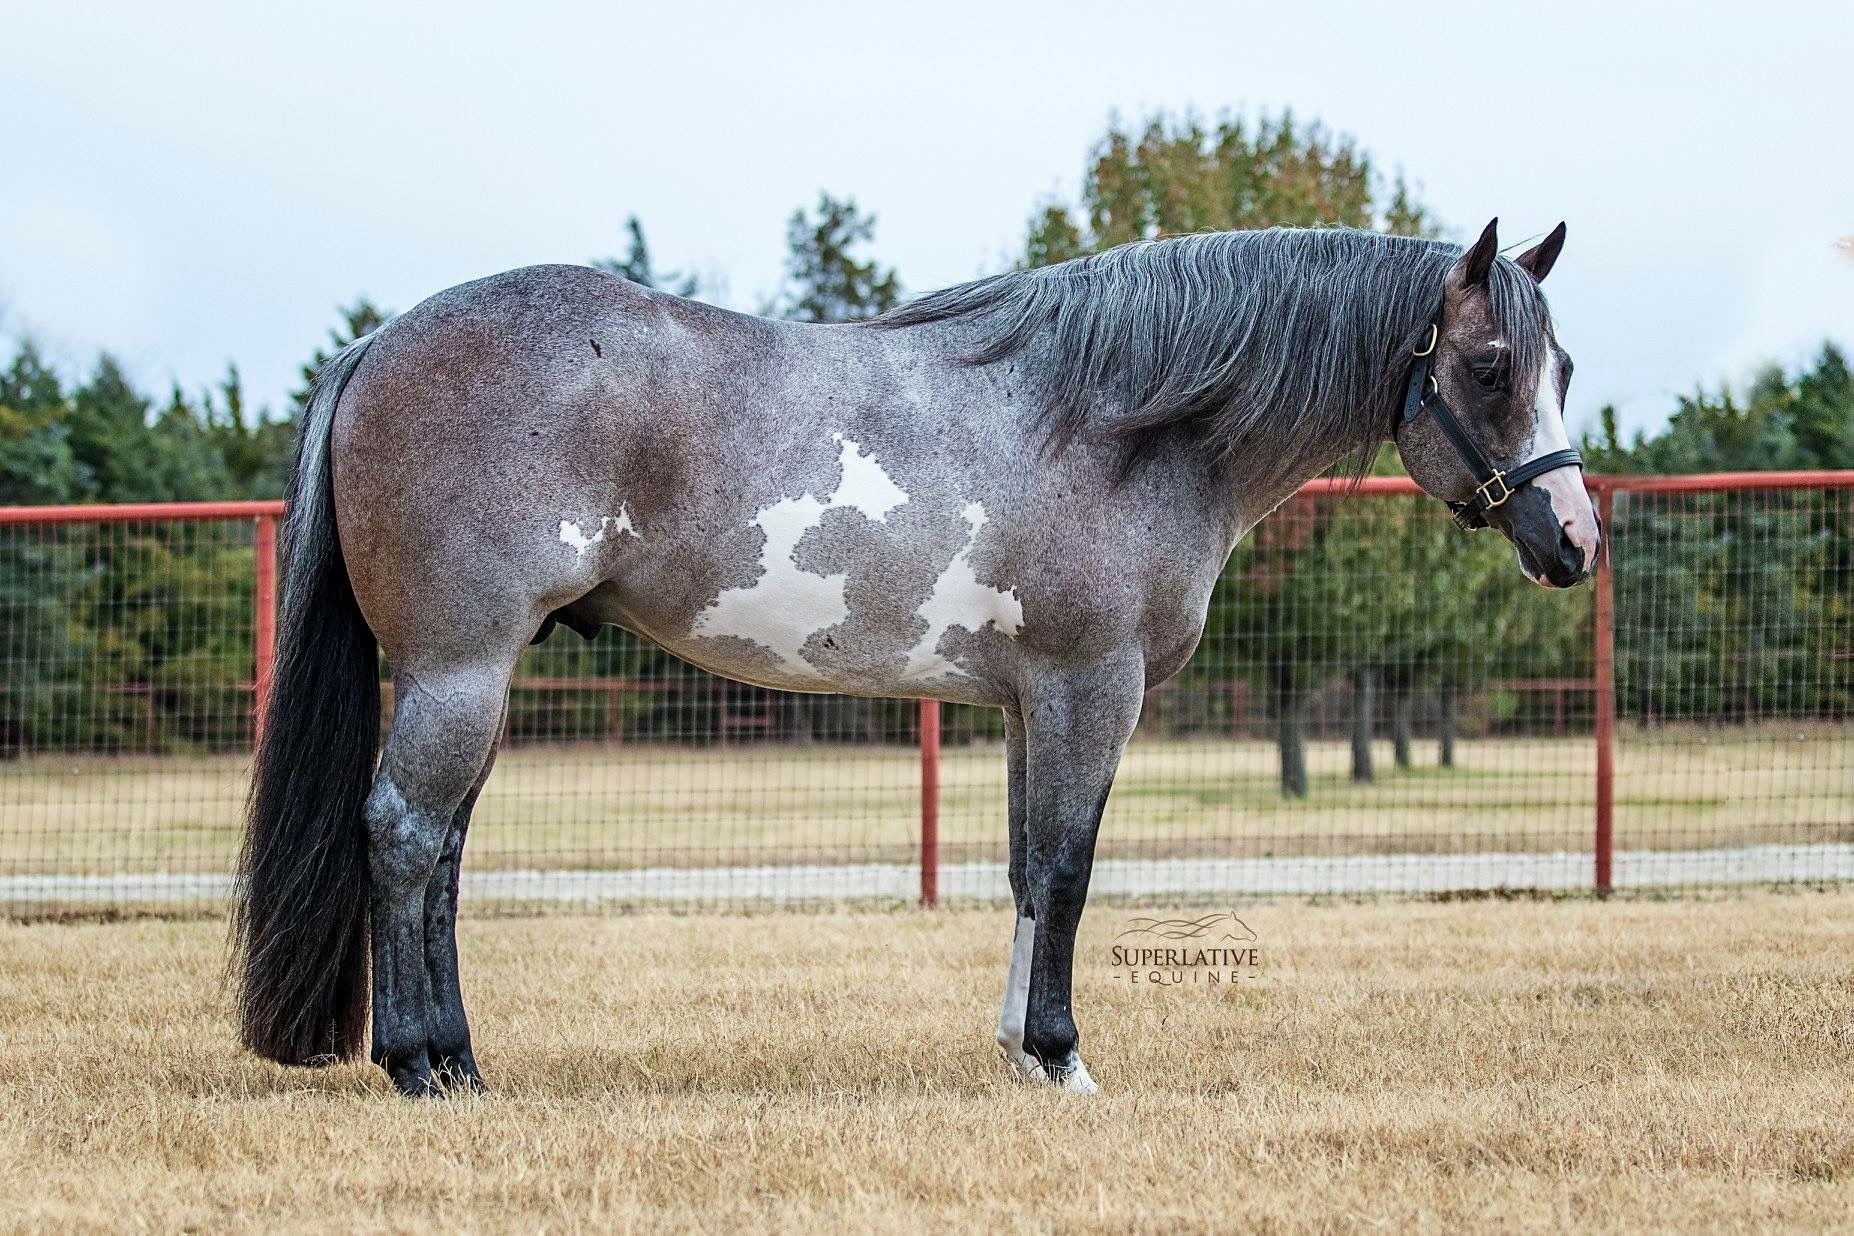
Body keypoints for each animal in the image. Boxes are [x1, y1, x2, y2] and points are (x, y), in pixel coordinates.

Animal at [231, 217, 1594, 1097]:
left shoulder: (1029, 703)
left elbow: (1029, 871)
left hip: (476, 677)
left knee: (445, 851)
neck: (1122, 426)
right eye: (1489, 367)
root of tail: (378, 346)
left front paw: (1017, 1053)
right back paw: (417, 1065)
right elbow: (1073, 870)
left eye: (1564, 366)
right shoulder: (1093, 688)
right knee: (405, 834)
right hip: (459, 667)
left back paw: (461, 1058)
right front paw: (1062, 1055)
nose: (1574, 541)